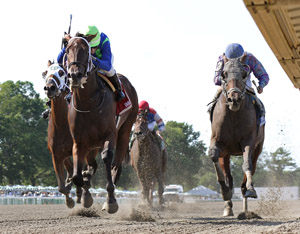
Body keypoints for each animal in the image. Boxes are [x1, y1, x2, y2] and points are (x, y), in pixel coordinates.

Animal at [65, 35, 138, 213]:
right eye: (68, 49)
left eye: (85, 50)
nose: (74, 75)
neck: (88, 103)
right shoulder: (79, 141)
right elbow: (78, 175)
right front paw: (85, 194)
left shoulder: (109, 133)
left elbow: (106, 158)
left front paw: (111, 200)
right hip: (92, 143)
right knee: (92, 165)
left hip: (124, 130)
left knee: (116, 165)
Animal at [210, 57, 264, 217]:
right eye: (223, 74)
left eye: (244, 74)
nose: (234, 99)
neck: (233, 115)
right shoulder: (218, 141)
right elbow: (213, 155)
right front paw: (225, 192)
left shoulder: (249, 142)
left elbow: (247, 164)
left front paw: (250, 188)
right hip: (226, 154)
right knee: (228, 175)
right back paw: (228, 206)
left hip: (258, 148)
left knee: (251, 165)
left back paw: (246, 195)